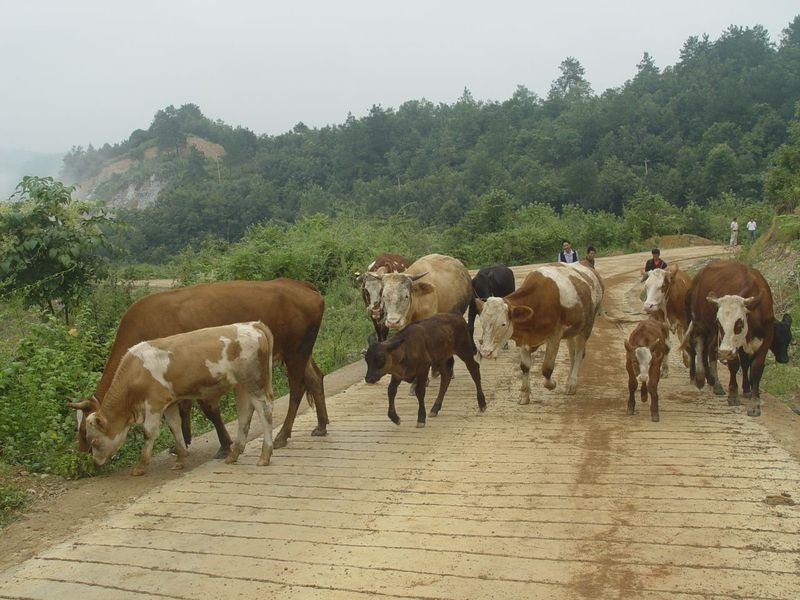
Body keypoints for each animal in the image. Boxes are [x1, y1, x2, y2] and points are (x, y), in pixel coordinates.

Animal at [68, 278, 328, 458]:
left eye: (84, 431)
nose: (80, 452)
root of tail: (299, 284)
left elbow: (208, 410)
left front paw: (224, 445)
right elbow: (183, 410)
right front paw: (181, 442)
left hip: (295, 353)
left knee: (297, 389)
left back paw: (283, 435)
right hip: (299, 352)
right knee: (315, 378)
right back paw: (321, 425)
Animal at [72, 322, 278, 476]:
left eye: (93, 441)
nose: (95, 463)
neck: (135, 370)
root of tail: (253, 324)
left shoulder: (154, 403)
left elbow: (148, 432)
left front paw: (140, 466)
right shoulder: (170, 403)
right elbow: (174, 427)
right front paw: (180, 459)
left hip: (254, 383)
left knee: (265, 410)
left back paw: (265, 455)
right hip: (241, 386)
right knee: (245, 413)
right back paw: (234, 454)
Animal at [476, 262, 600, 404]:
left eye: (503, 324)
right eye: (482, 322)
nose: (486, 352)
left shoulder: (554, 337)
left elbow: (547, 368)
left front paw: (552, 384)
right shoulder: (524, 339)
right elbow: (524, 366)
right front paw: (524, 395)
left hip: (586, 327)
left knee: (579, 353)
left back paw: (571, 383)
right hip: (572, 330)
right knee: (573, 353)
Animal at [684, 258, 792, 418]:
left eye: (739, 322)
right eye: (719, 322)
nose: (784, 359)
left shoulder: (766, 338)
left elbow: (756, 368)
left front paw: (754, 402)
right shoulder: (732, 345)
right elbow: (735, 365)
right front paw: (734, 395)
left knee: (708, 350)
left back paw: (713, 381)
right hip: (699, 324)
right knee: (698, 347)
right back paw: (699, 377)